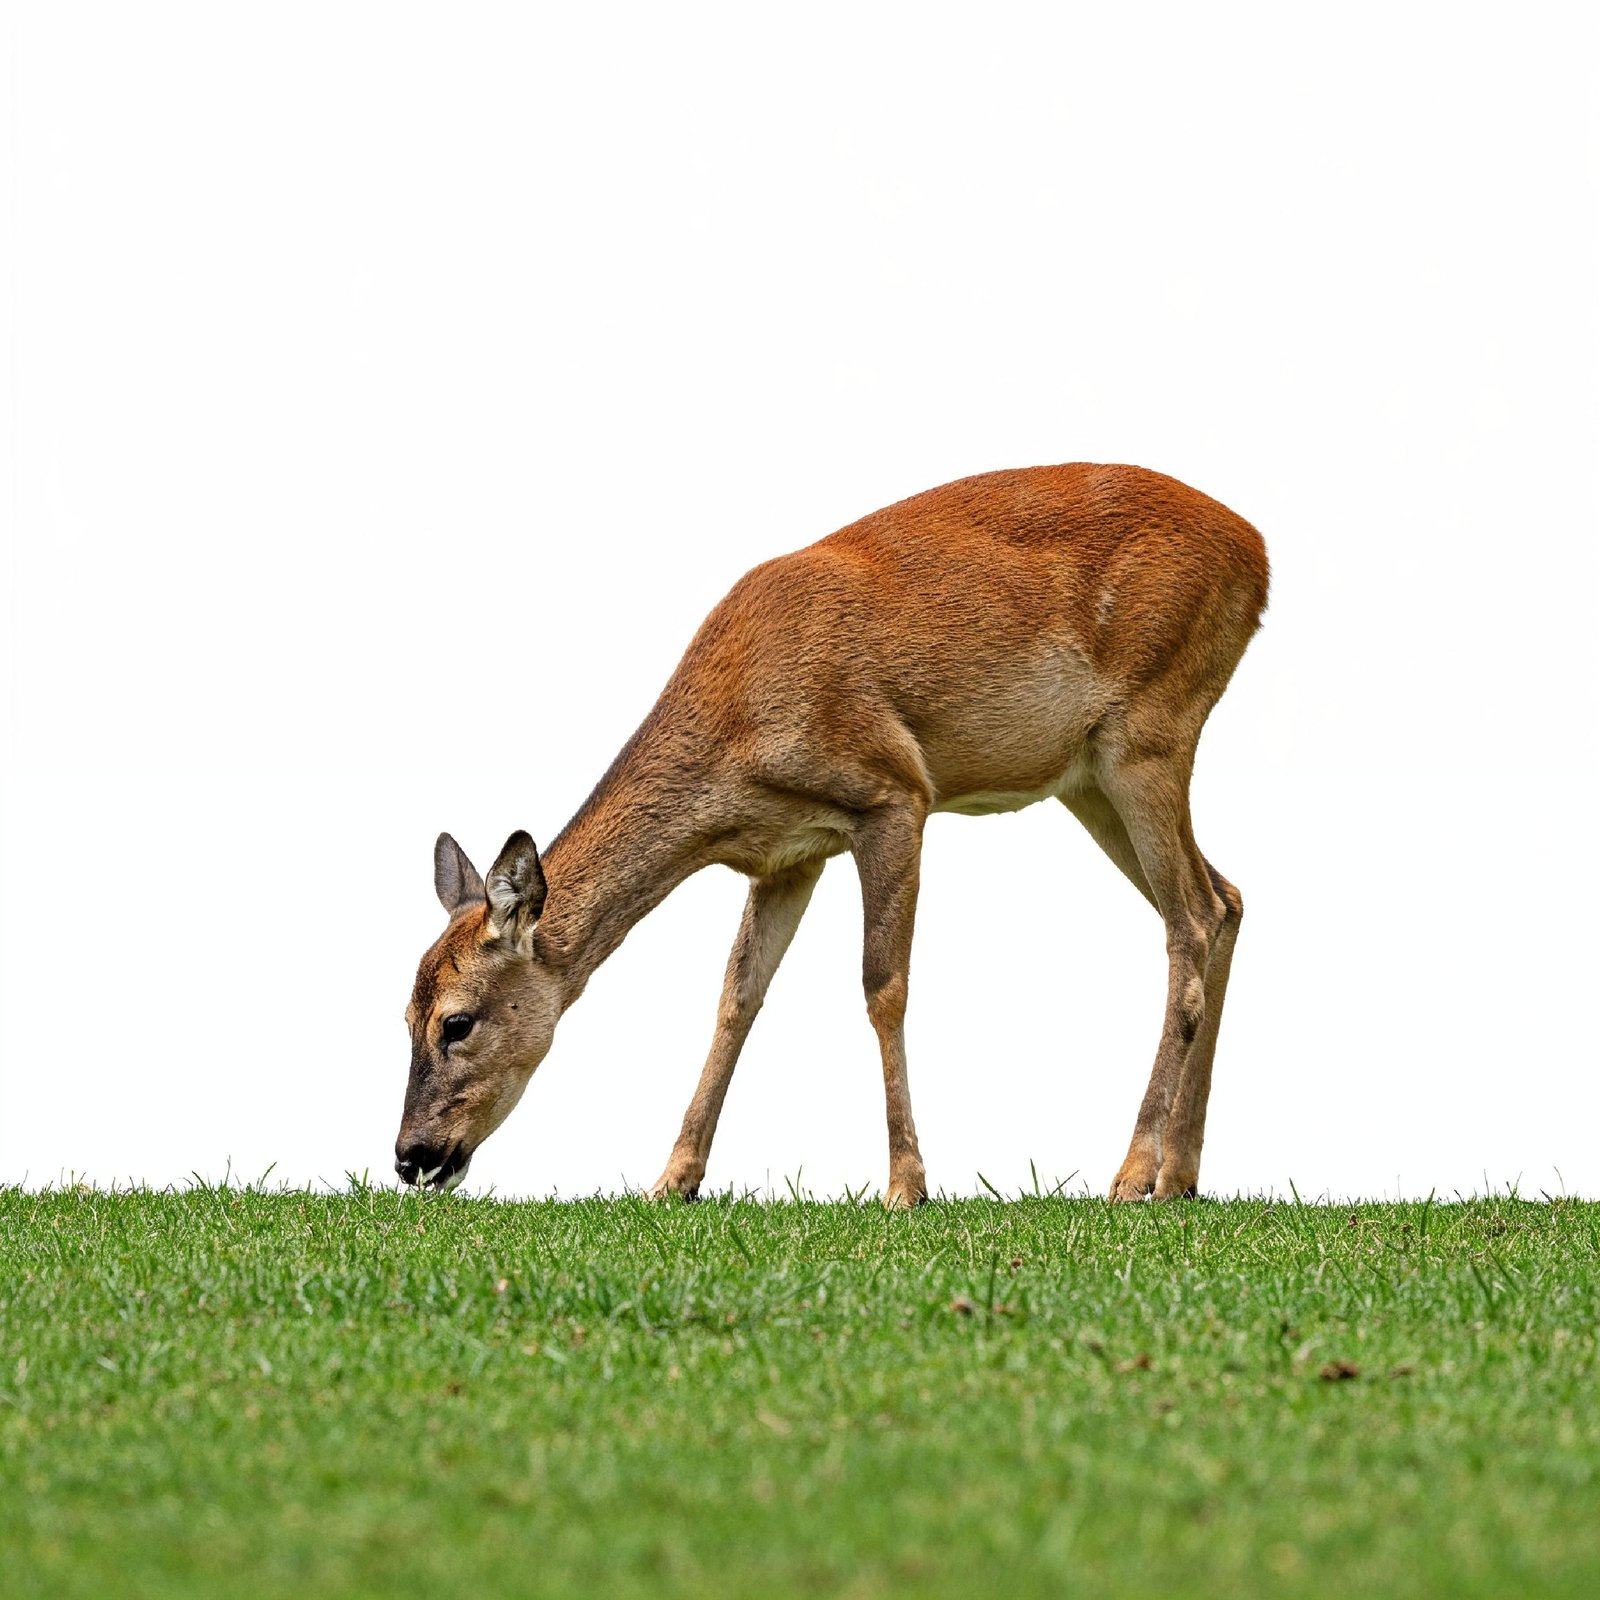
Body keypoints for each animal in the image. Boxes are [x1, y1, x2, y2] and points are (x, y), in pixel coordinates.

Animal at [395, 463, 1269, 1206]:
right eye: (403, 1016)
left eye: (457, 1022)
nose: (409, 1155)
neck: (737, 739)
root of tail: (1258, 555)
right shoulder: (786, 854)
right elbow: (736, 996)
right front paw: (674, 1177)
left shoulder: (894, 793)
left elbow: (884, 984)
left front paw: (907, 1183)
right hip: (1088, 777)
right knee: (1225, 897)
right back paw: (1181, 1175)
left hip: (1150, 728)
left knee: (1191, 918)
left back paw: (1133, 1173)